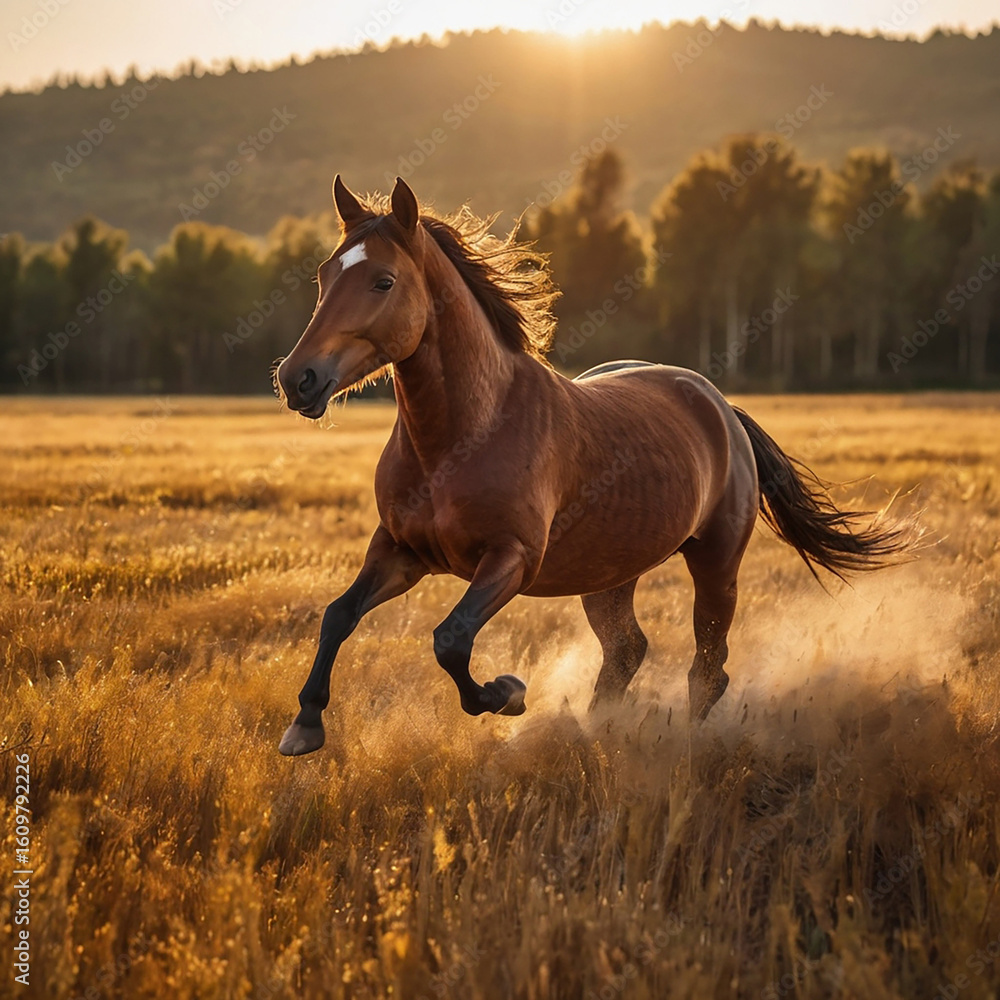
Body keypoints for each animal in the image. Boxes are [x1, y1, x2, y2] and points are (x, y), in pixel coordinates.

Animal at [272, 175, 907, 757]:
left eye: (383, 281)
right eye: (325, 275)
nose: (296, 378)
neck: (460, 438)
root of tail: (722, 407)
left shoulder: (511, 559)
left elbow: (449, 639)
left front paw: (508, 693)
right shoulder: (401, 551)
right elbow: (338, 615)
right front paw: (304, 725)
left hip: (716, 561)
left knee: (709, 665)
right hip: (611, 574)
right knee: (628, 651)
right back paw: (596, 734)